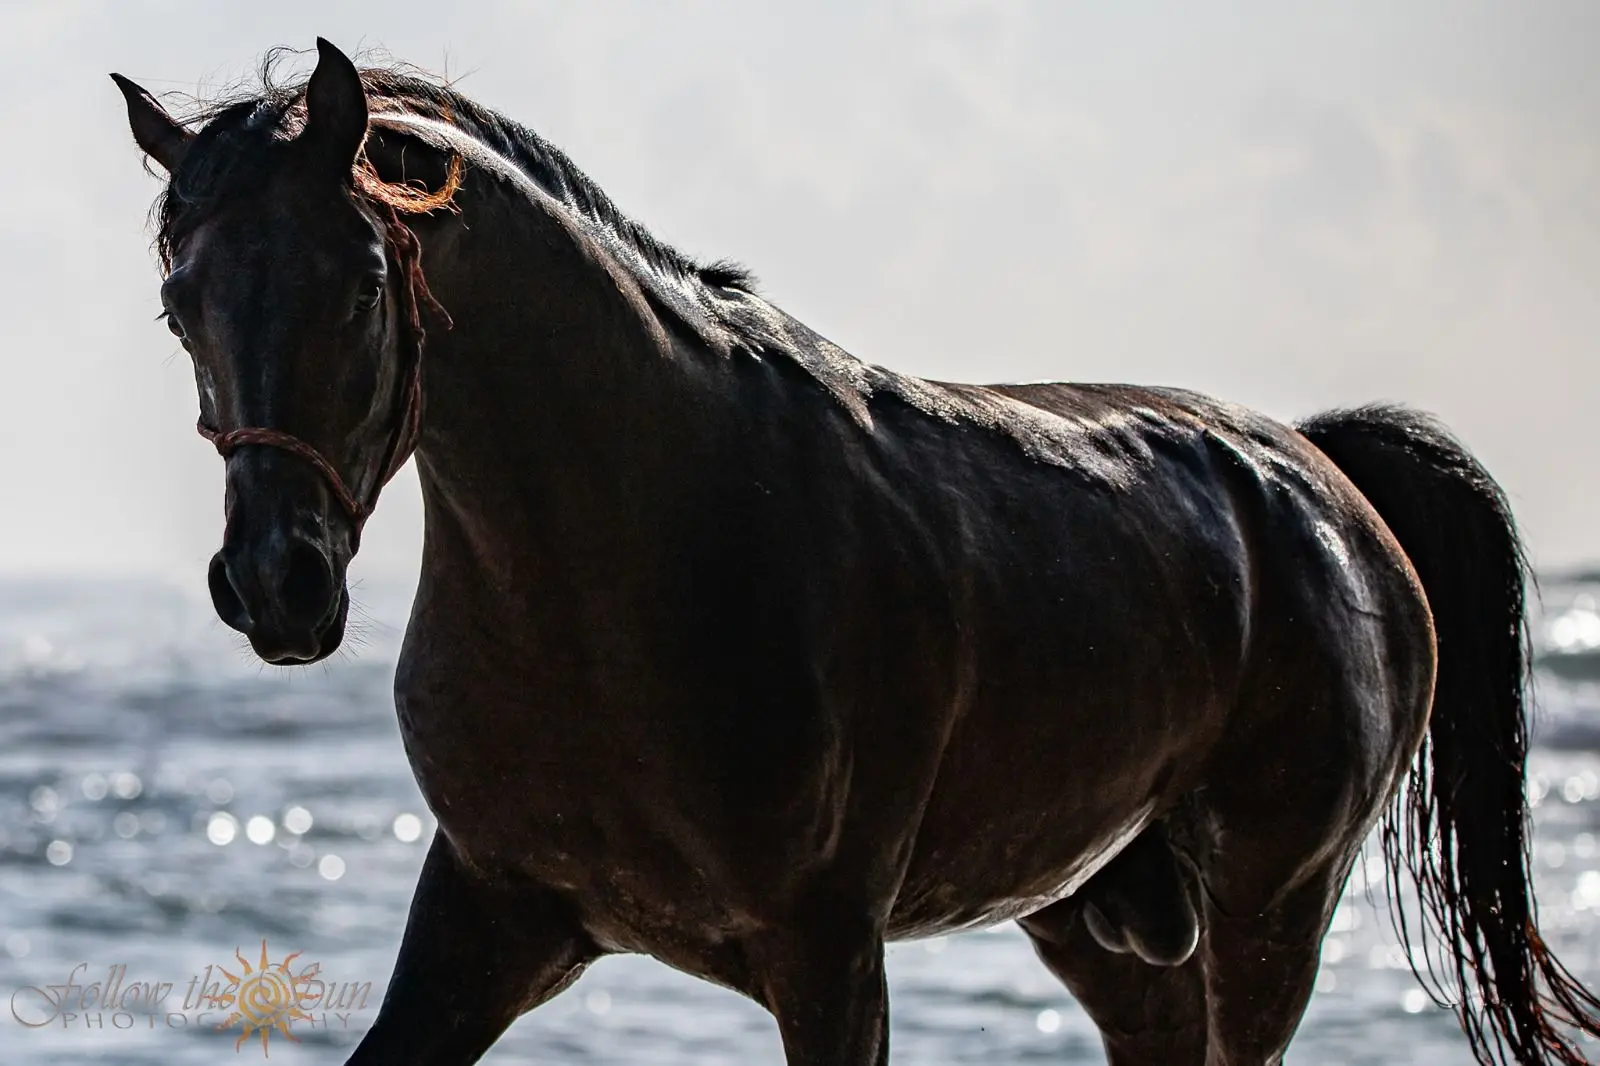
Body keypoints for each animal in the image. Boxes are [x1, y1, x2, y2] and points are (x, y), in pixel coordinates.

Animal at [111, 38, 1599, 1065]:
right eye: (180, 300)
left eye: (363, 281)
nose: (276, 584)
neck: (632, 560)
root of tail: (1323, 477)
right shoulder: (492, 915)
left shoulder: (826, 949)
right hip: (1105, 927)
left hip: (1269, 908)